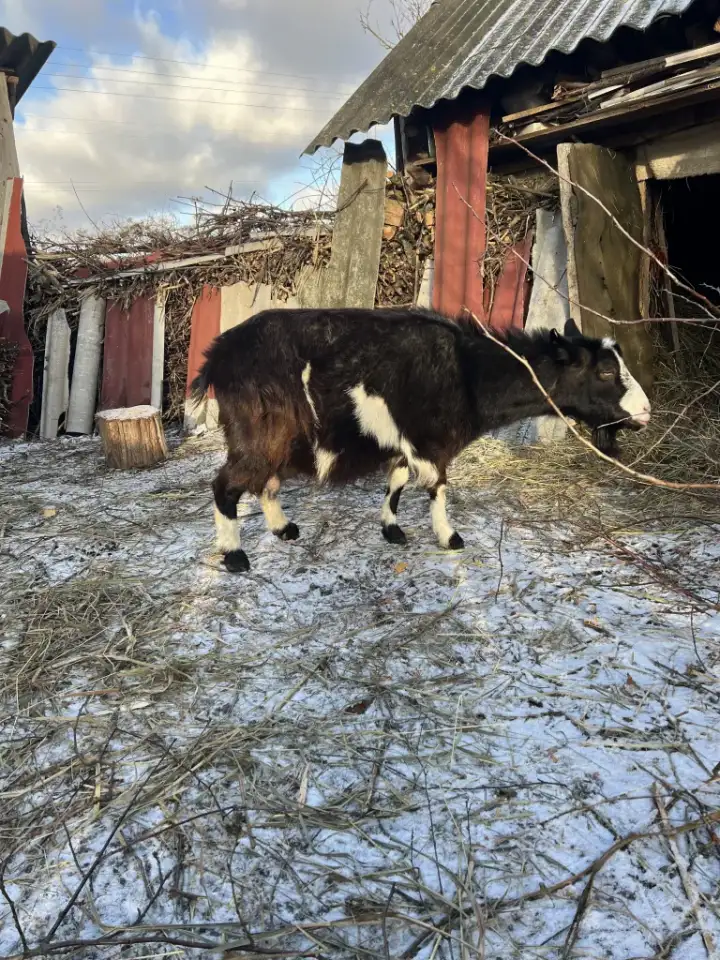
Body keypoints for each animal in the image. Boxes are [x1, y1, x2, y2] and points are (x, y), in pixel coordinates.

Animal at [191, 309, 651, 572]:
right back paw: (234, 556)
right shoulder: (432, 443)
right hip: (257, 433)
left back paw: (282, 528)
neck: (470, 373)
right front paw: (449, 537)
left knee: (265, 480)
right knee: (226, 485)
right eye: (606, 372)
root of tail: (216, 357)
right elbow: (438, 488)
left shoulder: (405, 442)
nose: (646, 411)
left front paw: (392, 530)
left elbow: (397, 481)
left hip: (276, 440)